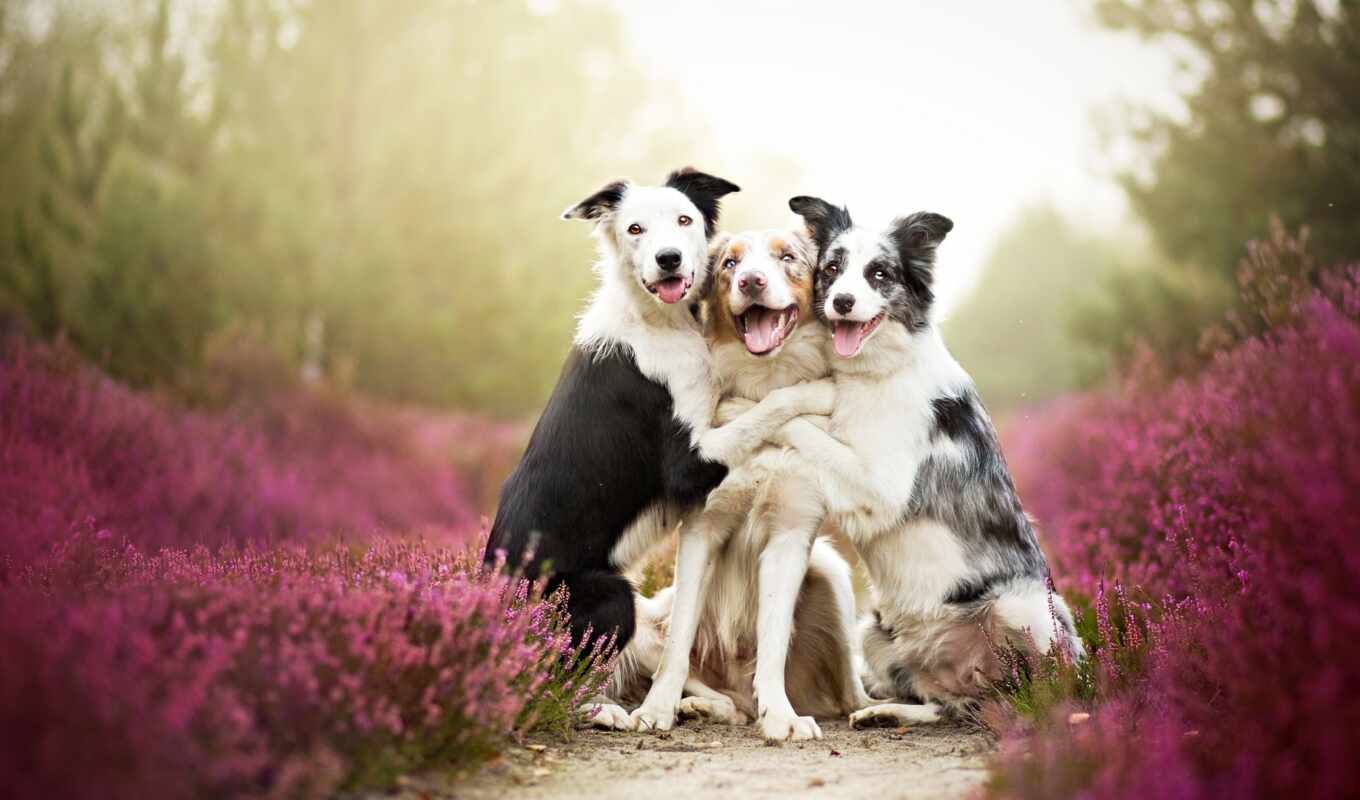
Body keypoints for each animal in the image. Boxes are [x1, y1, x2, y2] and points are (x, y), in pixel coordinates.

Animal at [484, 170, 832, 729]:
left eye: (685, 220)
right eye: (635, 228)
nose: (668, 258)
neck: (659, 321)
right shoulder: (688, 463)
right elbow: (768, 404)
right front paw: (819, 392)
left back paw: (708, 702)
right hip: (609, 596)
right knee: (553, 682)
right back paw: (604, 709)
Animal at [612, 228, 864, 740]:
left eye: (787, 257)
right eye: (730, 263)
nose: (751, 281)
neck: (764, 382)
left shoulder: (791, 532)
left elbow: (772, 636)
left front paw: (781, 717)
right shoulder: (701, 527)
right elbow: (680, 639)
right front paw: (656, 709)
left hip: (830, 573)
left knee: (847, 691)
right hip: (641, 619)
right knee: (704, 681)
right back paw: (695, 706)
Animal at [772, 195, 1088, 723]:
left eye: (880, 273)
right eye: (832, 269)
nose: (842, 302)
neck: (876, 374)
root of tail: (975, 677)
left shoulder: (880, 486)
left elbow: (803, 429)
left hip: (1024, 606)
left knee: (1034, 695)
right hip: (874, 631)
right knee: (942, 706)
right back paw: (889, 712)